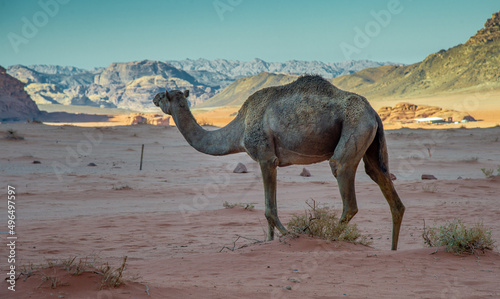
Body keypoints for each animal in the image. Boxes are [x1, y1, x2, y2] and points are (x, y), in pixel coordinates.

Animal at [153, 75, 406, 251]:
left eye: (164, 95)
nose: (153, 97)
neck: (239, 129)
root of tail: (373, 112)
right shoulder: (270, 161)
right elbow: (269, 210)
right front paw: (269, 241)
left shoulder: (266, 158)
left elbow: (270, 211)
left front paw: (291, 234)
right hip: (372, 143)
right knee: (383, 181)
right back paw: (393, 249)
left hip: (354, 131)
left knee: (345, 186)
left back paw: (330, 237)